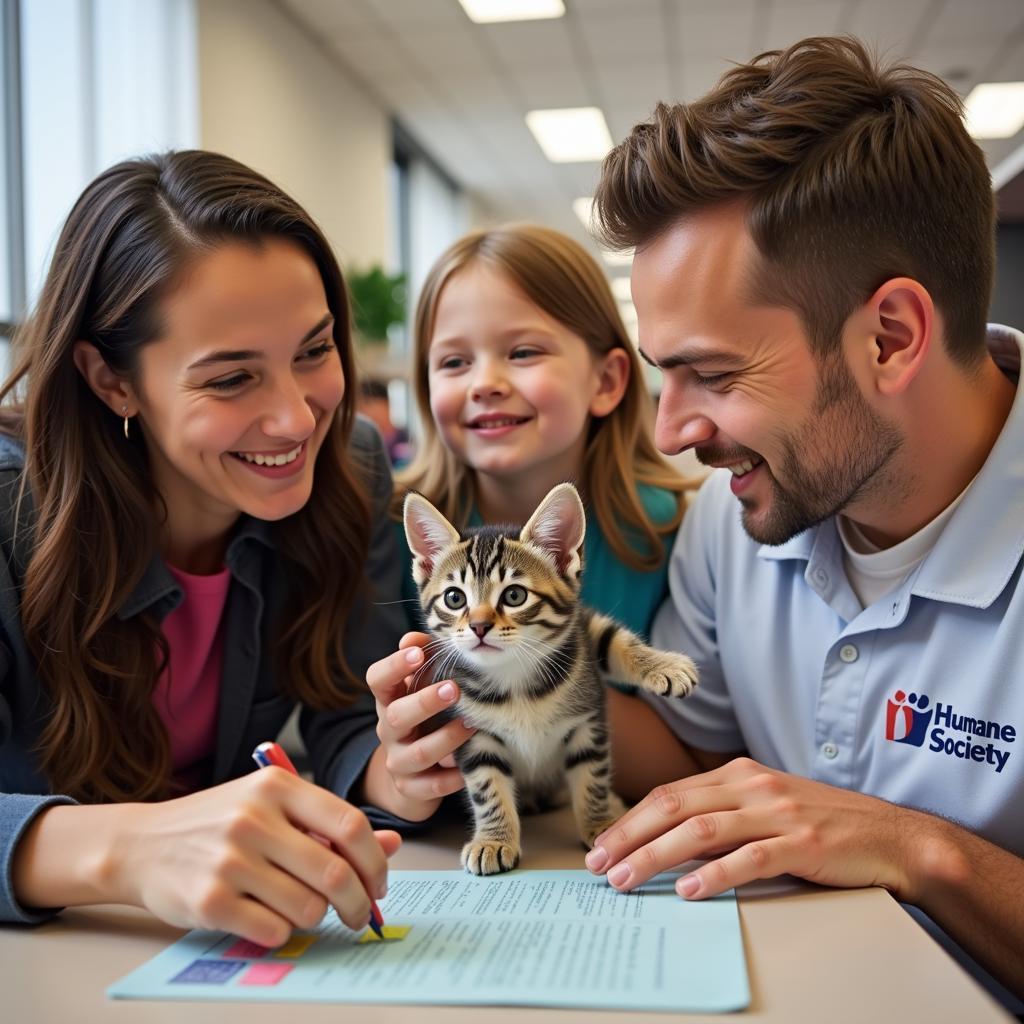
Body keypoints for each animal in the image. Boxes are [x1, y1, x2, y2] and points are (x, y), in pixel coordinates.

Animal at [399, 483, 696, 876]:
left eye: (514, 595)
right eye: (454, 598)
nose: (478, 626)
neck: (514, 680)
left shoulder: (587, 718)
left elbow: (592, 776)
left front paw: (599, 824)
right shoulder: (472, 735)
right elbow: (487, 788)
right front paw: (494, 839)